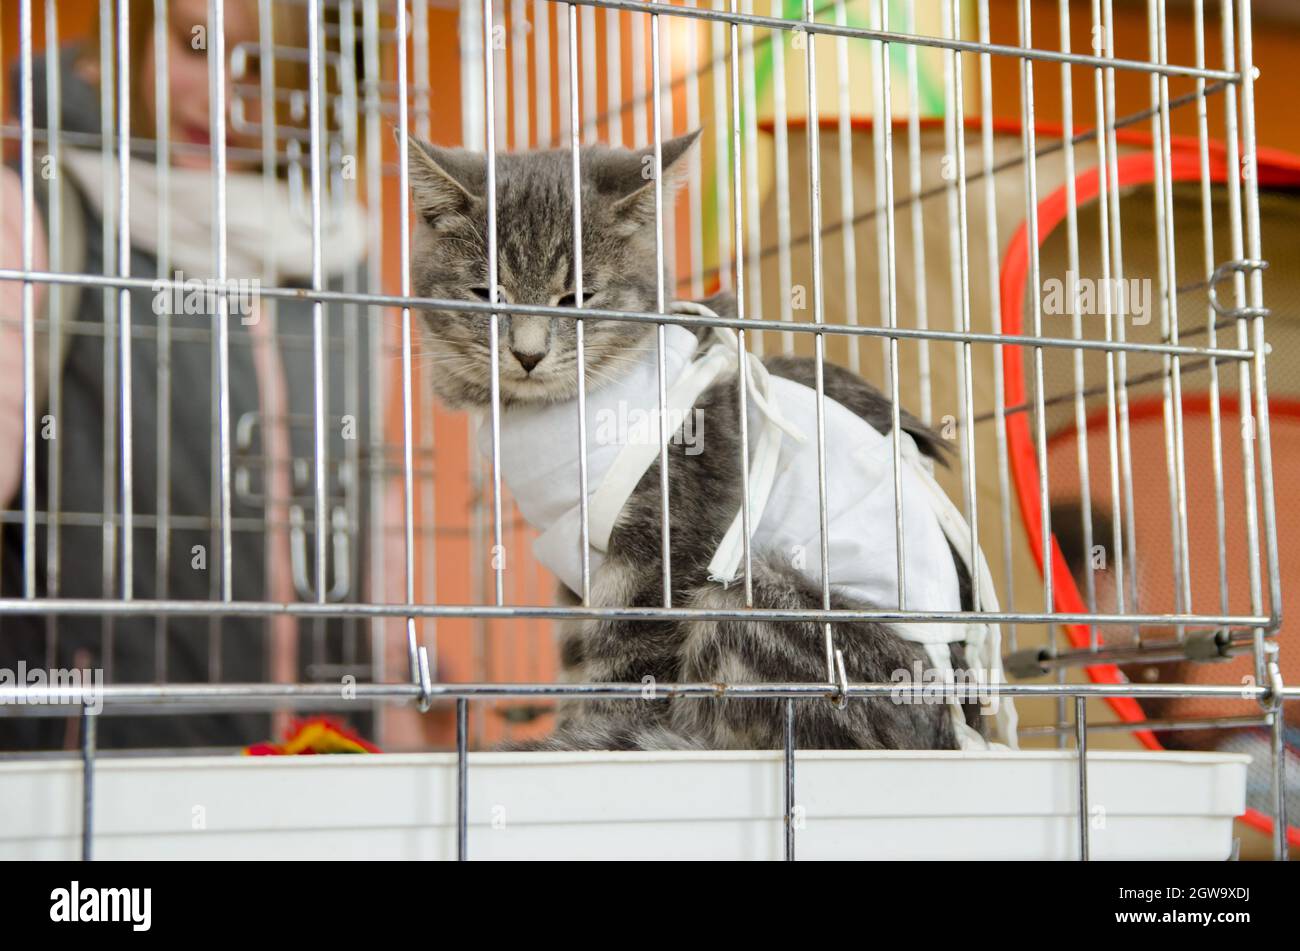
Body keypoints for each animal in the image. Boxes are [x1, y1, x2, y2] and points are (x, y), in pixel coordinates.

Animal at [403, 129, 977, 748]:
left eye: (576, 297)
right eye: (487, 293)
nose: (528, 353)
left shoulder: (667, 543)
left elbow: (627, 669)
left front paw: (595, 738)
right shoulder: (575, 565)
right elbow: (575, 657)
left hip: (748, 602)